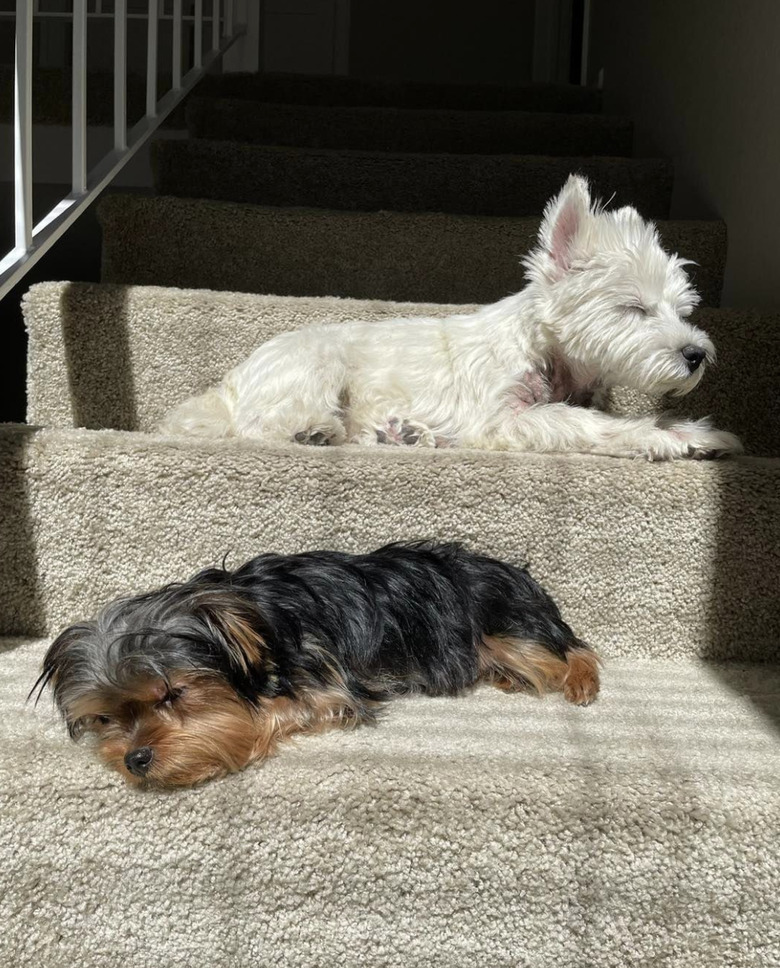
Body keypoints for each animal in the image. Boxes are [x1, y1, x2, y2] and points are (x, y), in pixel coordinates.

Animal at [33, 544, 600, 788]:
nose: (134, 759)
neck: (252, 615)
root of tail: (520, 576)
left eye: (173, 694)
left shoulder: (329, 688)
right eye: (105, 717)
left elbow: (268, 714)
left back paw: (580, 682)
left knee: (570, 649)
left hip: (507, 626)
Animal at [163, 176, 744, 464]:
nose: (697, 355)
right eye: (634, 308)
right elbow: (588, 424)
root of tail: (229, 383)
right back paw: (318, 432)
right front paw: (671, 437)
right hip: (316, 363)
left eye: (683, 309)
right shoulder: (500, 418)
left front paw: (697, 433)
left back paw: (404, 435)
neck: (550, 355)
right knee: (261, 425)